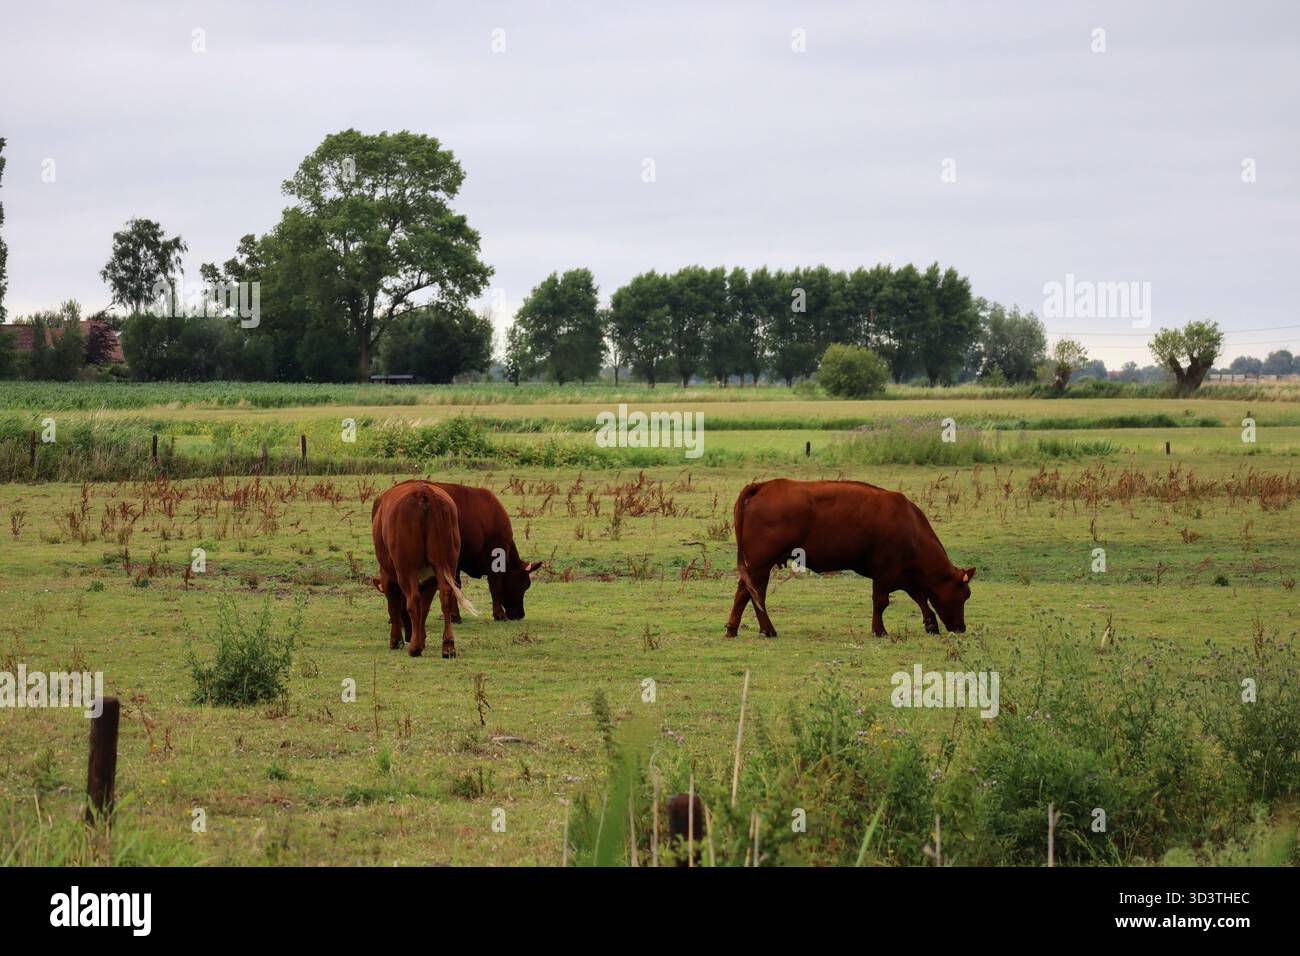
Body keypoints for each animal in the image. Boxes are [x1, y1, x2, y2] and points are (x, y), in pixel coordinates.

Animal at [371, 481, 477, 658]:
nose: (408, 634)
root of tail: (423, 492)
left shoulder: (387, 576)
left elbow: (394, 606)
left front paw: (397, 640)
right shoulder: (430, 580)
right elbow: (425, 608)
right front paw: (421, 638)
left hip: (406, 569)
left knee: (413, 600)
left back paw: (414, 648)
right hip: (446, 563)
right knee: (445, 596)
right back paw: (448, 645)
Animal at [724, 478, 975, 639]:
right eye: (965, 595)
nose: (961, 627)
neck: (911, 527)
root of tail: (764, 485)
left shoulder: (906, 574)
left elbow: (921, 598)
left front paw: (930, 623)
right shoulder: (887, 571)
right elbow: (881, 601)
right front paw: (880, 630)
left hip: (760, 566)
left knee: (752, 594)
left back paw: (745, 629)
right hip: (760, 564)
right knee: (747, 593)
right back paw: (755, 629)